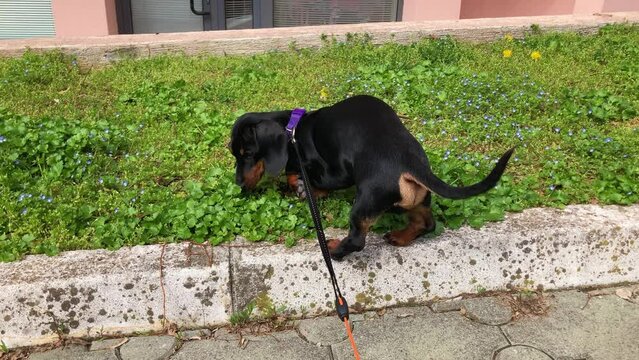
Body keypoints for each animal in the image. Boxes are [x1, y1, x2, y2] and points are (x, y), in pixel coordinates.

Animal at [230, 95, 516, 258]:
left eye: (247, 154)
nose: (238, 185)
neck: (295, 129)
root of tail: (409, 163)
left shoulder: (334, 172)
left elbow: (310, 178)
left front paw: (300, 186)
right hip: (417, 200)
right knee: (427, 223)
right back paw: (400, 236)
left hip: (365, 201)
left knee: (357, 240)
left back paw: (334, 249)